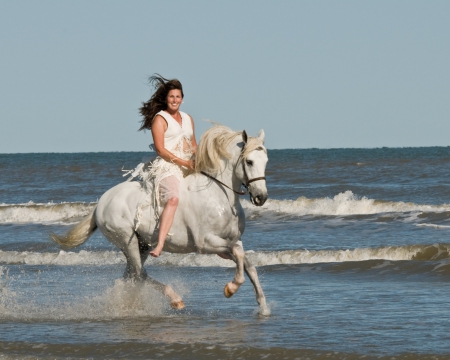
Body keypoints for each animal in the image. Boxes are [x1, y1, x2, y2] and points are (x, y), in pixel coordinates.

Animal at [52, 126, 270, 316]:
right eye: (249, 161)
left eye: (266, 161)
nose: (261, 197)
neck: (220, 195)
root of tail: (101, 203)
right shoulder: (206, 243)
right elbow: (239, 254)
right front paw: (231, 288)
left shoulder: (230, 242)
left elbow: (248, 263)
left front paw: (263, 307)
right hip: (128, 241)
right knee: (140, 274)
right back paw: (175, 299)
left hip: (142, 245)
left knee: (131, 277)